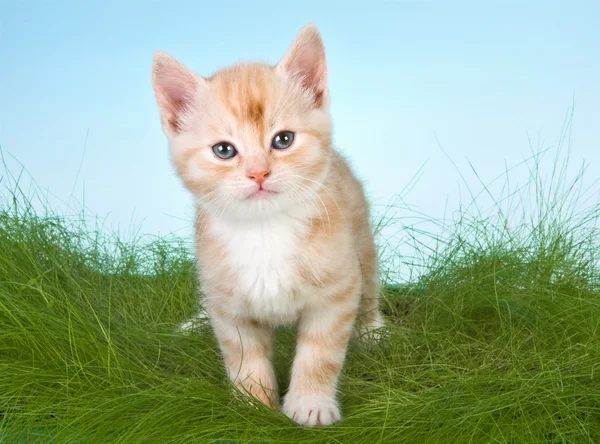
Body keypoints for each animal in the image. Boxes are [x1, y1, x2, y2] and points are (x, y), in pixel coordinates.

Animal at [151, 22, 384, 424]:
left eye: (284, 140)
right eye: (224, 150)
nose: (259, 173)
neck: (265, 229)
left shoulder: (335, 293)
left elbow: (319, 355)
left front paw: (310, 403)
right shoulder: (231, 308)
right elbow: (244, 357)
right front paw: (254, 406)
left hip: (361, 237)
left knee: (369, 281)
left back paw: (372, 330)